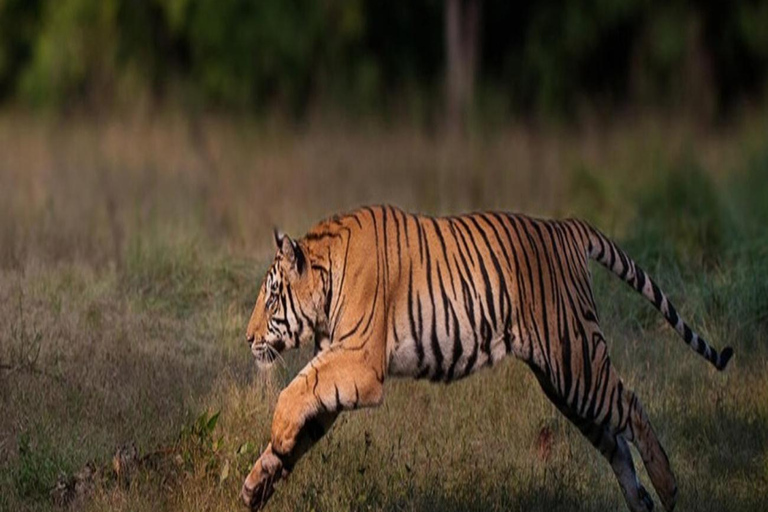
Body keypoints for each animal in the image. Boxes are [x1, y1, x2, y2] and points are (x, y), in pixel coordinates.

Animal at [241, 205, 733, 512]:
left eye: (271, 298)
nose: (247, 338)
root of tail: (566, 227)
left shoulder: (359, 363)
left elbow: (294, 390)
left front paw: (277, 436)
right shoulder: (339, 370)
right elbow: (302, 415)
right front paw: (258, 482)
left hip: (577, 364)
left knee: (631, 406)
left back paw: (668, 489)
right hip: (566, 385)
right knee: (615, 440)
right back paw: (640, 501)